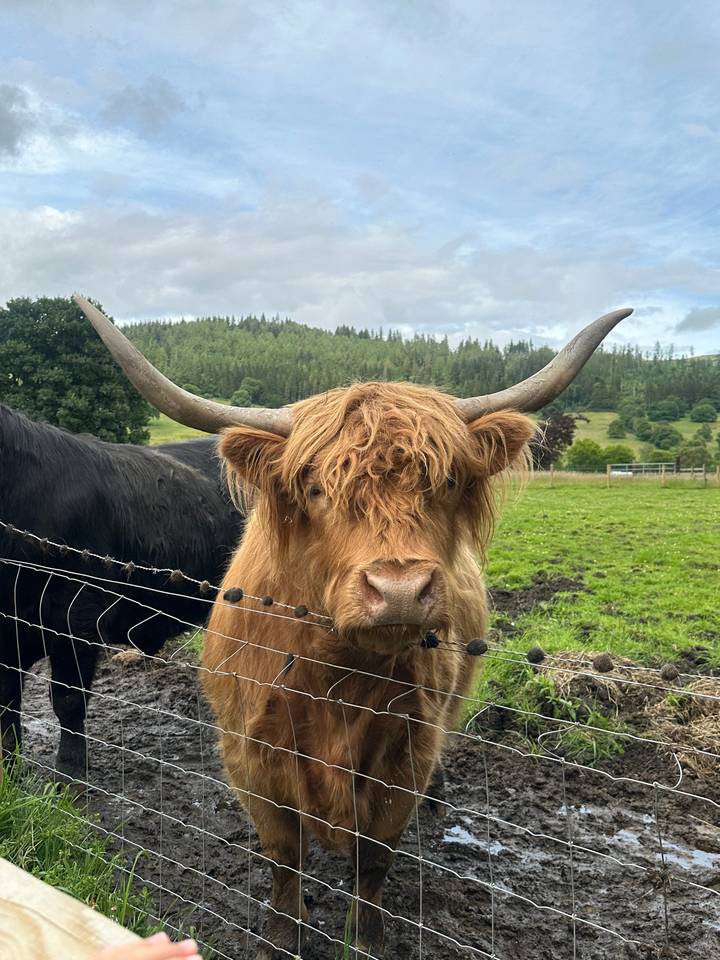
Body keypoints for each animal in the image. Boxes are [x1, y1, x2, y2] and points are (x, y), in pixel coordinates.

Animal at [75, 295, 631, 957]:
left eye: (446, 482)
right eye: (316, 488)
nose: (399, 592)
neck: (340, 680)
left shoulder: (405, 755)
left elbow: (375, 859)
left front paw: (365, 937)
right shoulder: (250, 751)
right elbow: (282, 852)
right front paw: (282, 934)